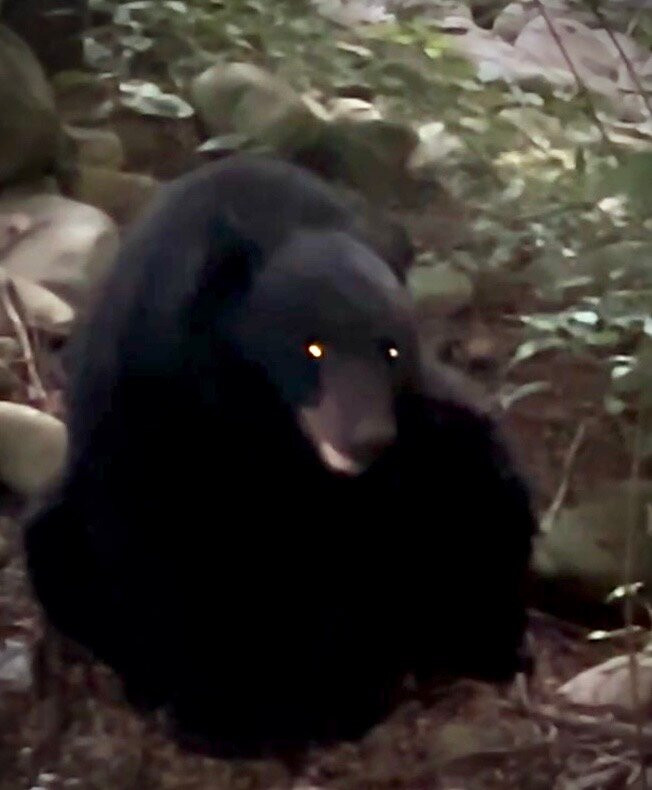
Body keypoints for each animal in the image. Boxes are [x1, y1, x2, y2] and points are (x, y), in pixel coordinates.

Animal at [24, 154, 537, 758]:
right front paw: (225, 709)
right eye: (312, 348)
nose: (368, 438)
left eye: (390, 350)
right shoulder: (148, 407)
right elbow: (159, 546)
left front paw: (332, 694)